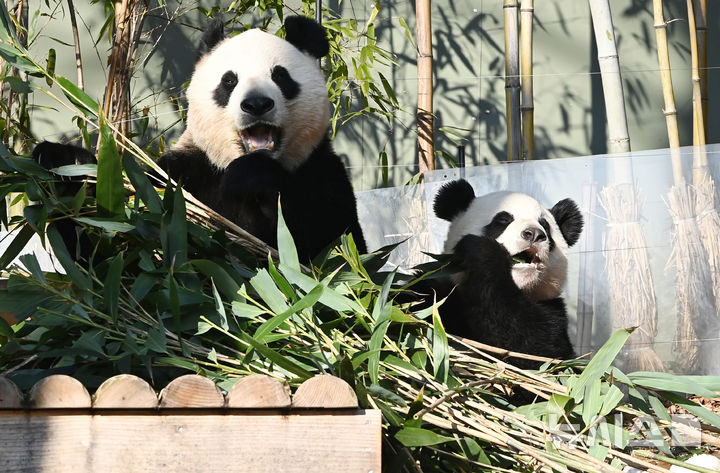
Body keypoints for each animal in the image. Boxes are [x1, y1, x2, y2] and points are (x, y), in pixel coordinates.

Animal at [32, 15, 366, 262]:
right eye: (229, 81)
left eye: (281, 76)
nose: (257, 104)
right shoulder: (177, 176)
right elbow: (106, 254)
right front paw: (63, 164)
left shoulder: (321, 169)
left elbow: (336, 248)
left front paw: (254, 176)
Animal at [414, 179, 584, 366]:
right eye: (503, 219)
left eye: (545, 225)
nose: (534, 234)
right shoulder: (438, 294)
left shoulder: (553, 311)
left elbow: (534, 346)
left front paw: (483, 250)